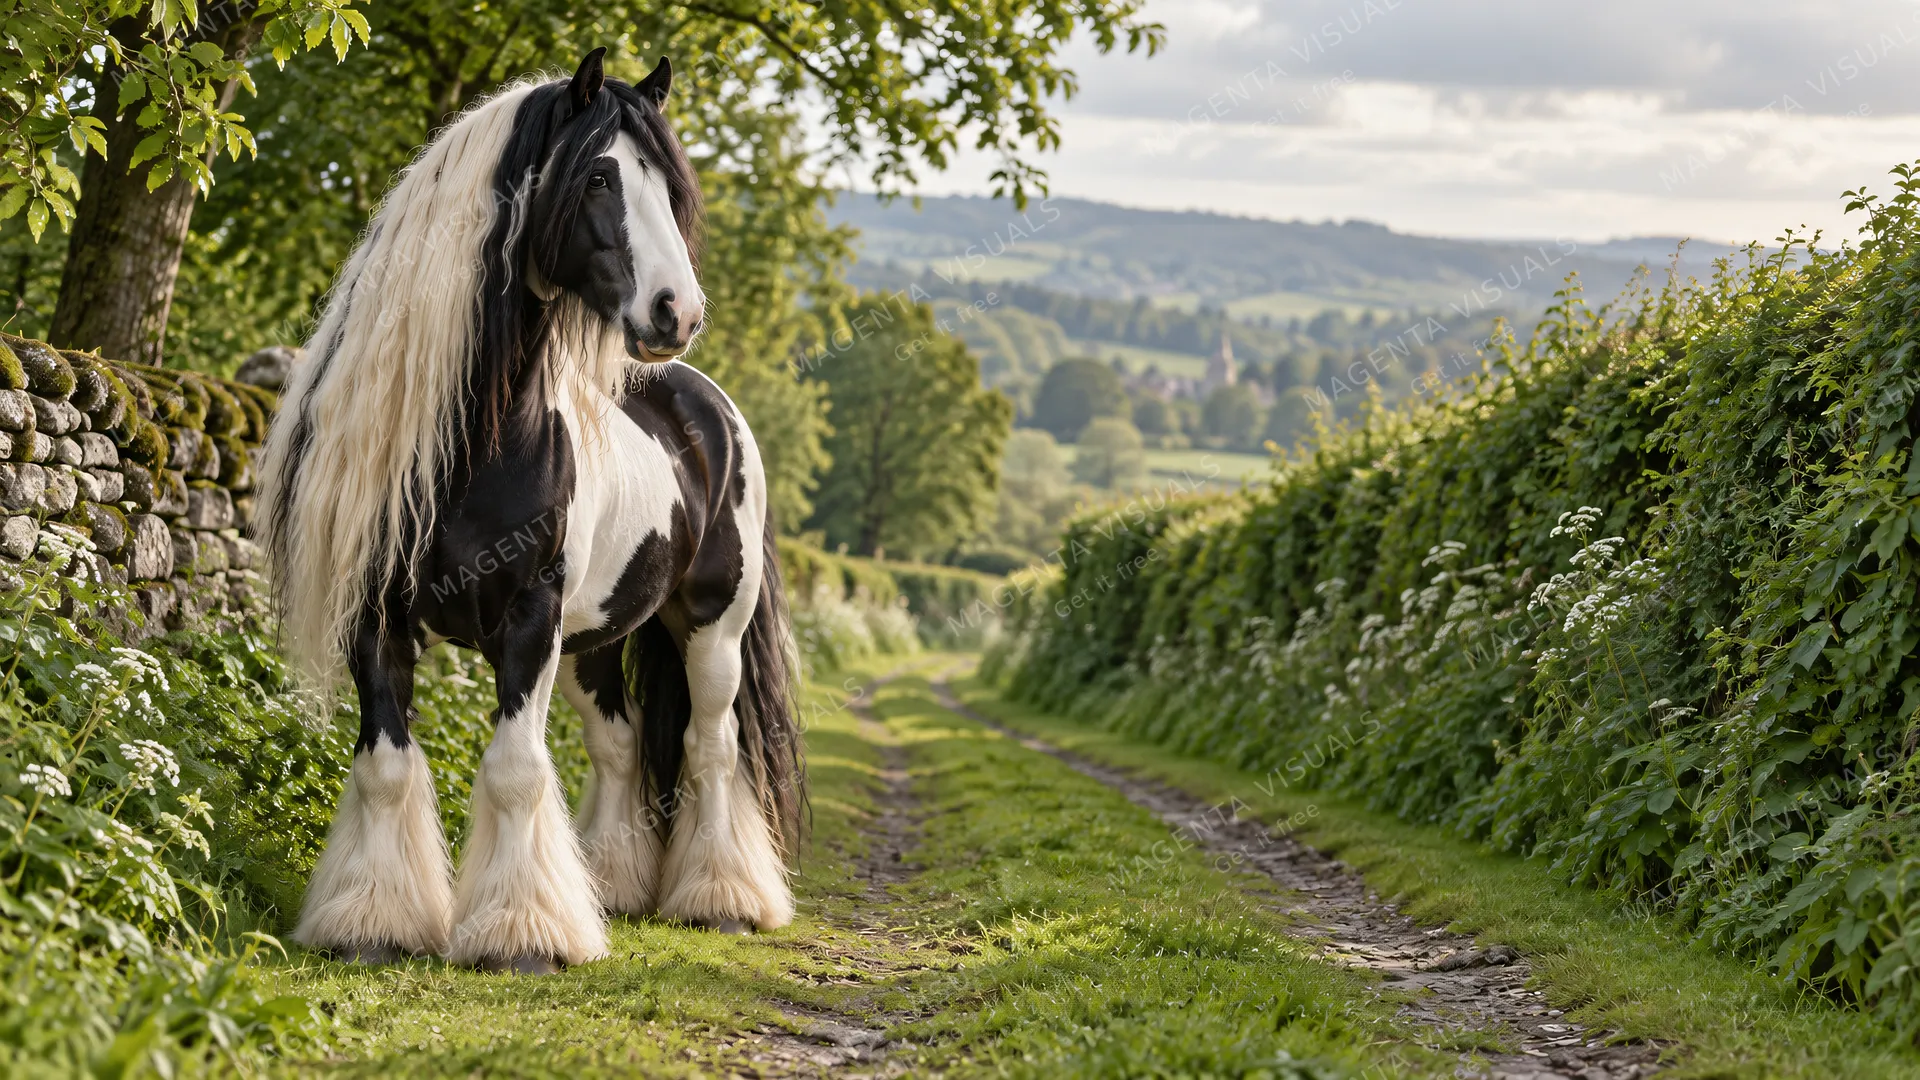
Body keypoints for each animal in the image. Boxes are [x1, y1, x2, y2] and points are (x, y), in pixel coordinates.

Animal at [256, 48, 803, 974]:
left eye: (670, 188)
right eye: (600, 176)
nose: (678, 312)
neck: (471, 446)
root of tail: (708, 406)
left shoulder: (528, 618)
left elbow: (515, 769)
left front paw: (521, 936)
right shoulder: (377, 617)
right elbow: (384, 767)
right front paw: (372, 923)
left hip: (711, 628)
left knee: (711, 747)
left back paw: (721, 900)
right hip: (595, 641)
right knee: (621, 744)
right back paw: (612, 889)